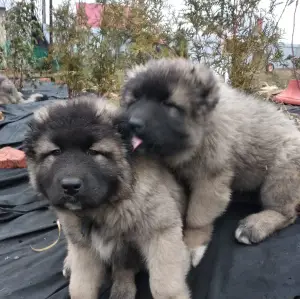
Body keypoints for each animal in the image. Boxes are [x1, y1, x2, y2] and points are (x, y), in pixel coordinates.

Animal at [24, 98, 191, 299]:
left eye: (93, 152)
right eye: (56, 152)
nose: (70, 186)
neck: (105, 207)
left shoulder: (161, 231)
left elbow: (164, 283)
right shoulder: (84, 249)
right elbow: (80, 286)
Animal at [119, 58, 300, 268]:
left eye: (168, 105)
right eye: (134, 100)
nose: (131, 124)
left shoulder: (209, 181)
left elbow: (196, 217)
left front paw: (192, 246)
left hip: (281, 172)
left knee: (286, 213)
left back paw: (254, 225)